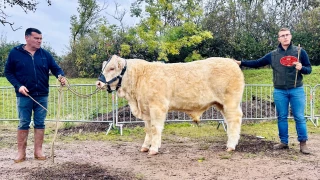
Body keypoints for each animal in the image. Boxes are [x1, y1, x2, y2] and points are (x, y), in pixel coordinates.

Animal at [96, 54, 244, 155]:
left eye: (112, 68)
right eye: (103, 67)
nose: (98, 83)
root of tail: (231, 61)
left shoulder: (157, 107)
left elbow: (155, 128)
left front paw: (154, 149)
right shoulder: (146, 110)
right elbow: (148, 129)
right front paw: (145, 147)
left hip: (231, 102)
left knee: (234, 120)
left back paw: (231, 145)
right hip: (221, 104)